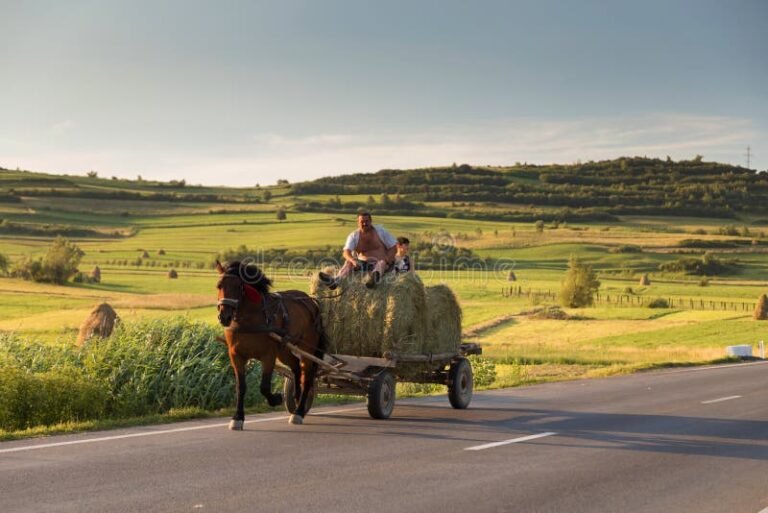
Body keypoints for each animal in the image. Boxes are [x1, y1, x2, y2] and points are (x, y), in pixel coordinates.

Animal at [215, 260, 327, 428]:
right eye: (219, 286)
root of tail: (309, 301)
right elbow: (241, 387)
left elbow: (264, 386)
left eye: (239, 287)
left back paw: (299, 412)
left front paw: (276, 399)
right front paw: (238, 417)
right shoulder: (236, 355)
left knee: (307, 376)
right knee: (296, 367)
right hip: (284, 349)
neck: (250, 318)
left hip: (306, 347)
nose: (224, 316)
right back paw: (297, 396)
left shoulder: (268, 355)